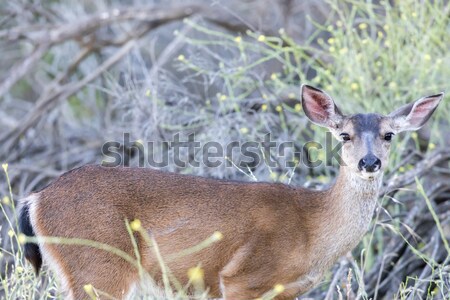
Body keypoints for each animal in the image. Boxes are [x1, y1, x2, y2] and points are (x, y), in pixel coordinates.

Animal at [18, 85, 442, 300]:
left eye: (389, 135)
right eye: (344, 135)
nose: (370, 162)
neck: (312, 229)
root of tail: (35, 199)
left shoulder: (286, 292)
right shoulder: (241, 277)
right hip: (99, 265)